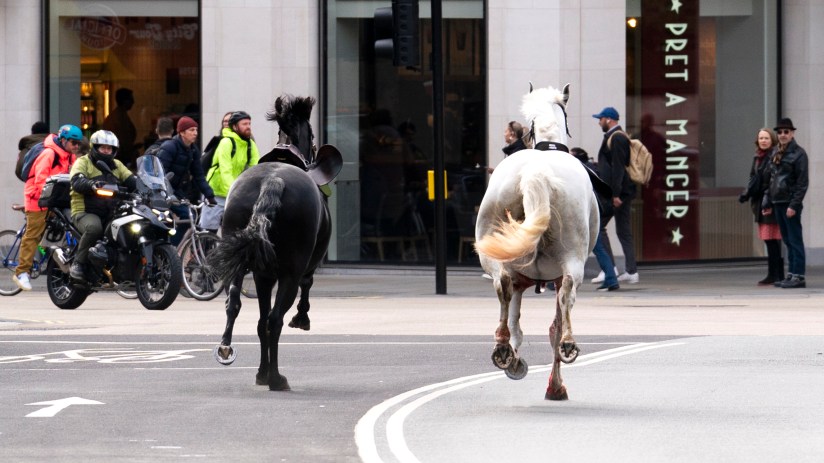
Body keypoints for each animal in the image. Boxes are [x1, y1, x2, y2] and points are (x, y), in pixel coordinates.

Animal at [208, 95, 335, 391]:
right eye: (312, 134)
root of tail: (273, 181)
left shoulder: (263, 276)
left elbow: (259, 320)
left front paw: (260, 372)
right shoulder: (302, 267)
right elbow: (305, 287)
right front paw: (301, 318)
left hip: (239, 263)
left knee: (236, 305)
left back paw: (230, 350)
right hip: (290, 272)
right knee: (276, 320)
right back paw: (277, 379)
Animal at [474, 83, 599, 400]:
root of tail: (536, 172)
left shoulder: (520, 279)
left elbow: (515, 320)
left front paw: (514, 358)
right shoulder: (552, 277)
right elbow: (553, 324)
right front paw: (555, 385)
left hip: (493, 253)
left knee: (502, 286)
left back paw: (502, 348)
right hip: (571, 259)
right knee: (567, 296)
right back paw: (567, 344)